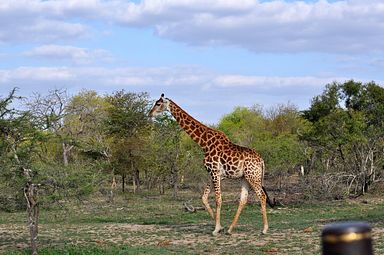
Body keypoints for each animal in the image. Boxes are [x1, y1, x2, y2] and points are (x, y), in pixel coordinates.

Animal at [148, 93, 274, 235]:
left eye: (158, 104)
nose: (150, 113)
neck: (204, 143)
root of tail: (261, 160)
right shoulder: (213, 173)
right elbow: (204, 198)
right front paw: (220, 226)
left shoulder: (214, 172)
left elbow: (218, 199)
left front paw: (216, 229)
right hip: (245, 178)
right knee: (243, 199)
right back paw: (230, 229)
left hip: (253, 176)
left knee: (262, 196)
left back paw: (264, 229)